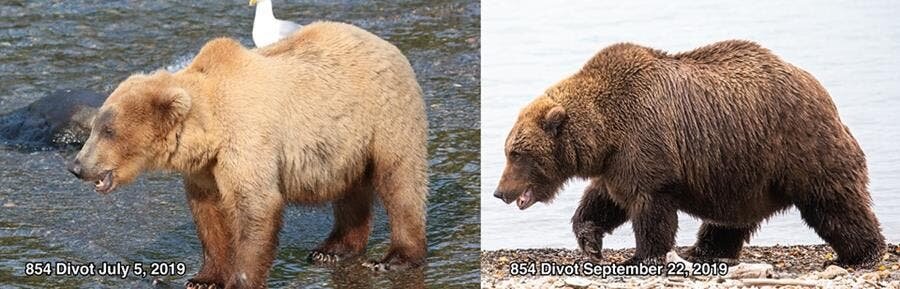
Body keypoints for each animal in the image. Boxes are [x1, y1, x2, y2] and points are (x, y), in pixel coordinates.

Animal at [68, 21, 428, 286]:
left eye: (108, 131)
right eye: (96, 126)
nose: (77, 166)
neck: (210, 131)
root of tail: (386, 44)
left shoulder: (247, 142)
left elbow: (255, 207)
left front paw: (239, 280)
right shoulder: (205, 169)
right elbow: (209, 214)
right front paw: (204, 278)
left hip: (384, 115)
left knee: (400, 180)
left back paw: (394, 258)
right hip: (342, 143)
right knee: (351, 188)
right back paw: (333, 250)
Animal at [500, 40, 884, 268]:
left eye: (517, 153)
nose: (499, 192)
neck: (604, 131)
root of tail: (820, 91)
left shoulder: (646, 143)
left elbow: (650, 209)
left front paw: (640, 258)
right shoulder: (616, 162)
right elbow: (604, 201)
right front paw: (591, 243)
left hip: (798, 145)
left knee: (833, 203)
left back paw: (861, 255)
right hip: (745, 169)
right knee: (731, 218)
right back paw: (705, 250)